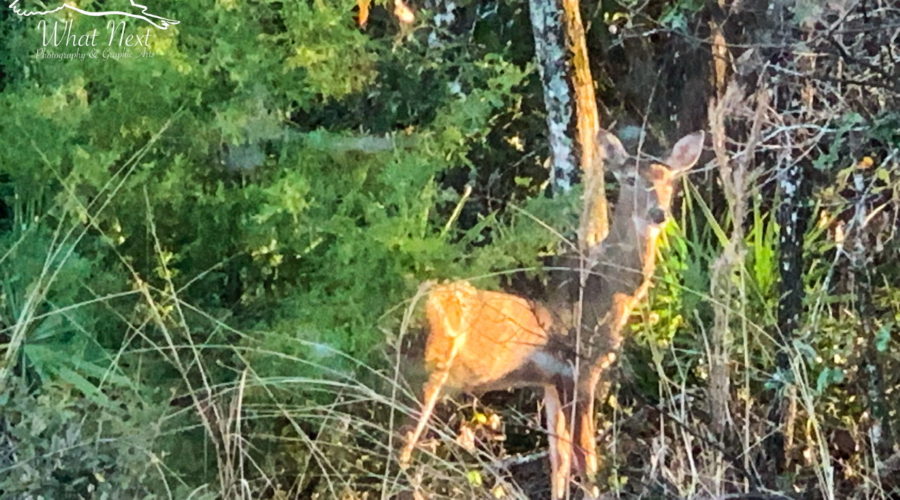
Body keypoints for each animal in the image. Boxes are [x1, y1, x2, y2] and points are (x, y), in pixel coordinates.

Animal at [400, 128, 704, 496]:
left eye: (670, 181)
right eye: (630, 178)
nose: (659, 214)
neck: (603, 289)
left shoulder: (549, 378)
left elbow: (558, 459)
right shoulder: (579, 367)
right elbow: (586, 460)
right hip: (424, 371)